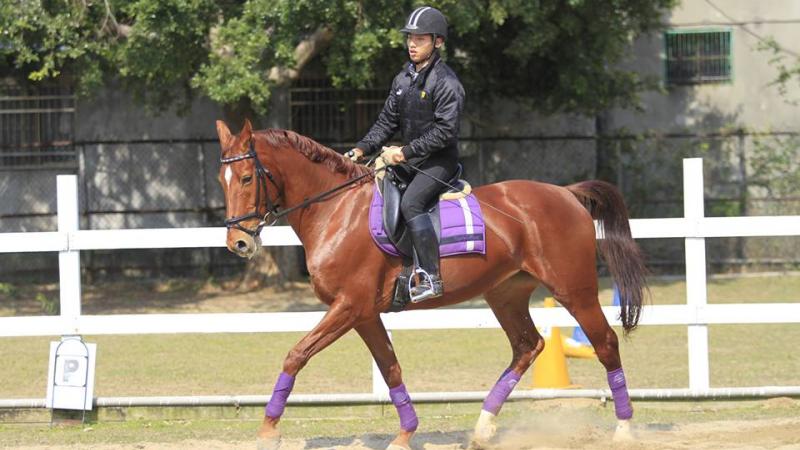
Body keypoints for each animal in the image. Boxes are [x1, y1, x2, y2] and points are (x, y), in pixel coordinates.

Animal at [216, 119, 647, 449]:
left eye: (247, 177)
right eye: (223, 180)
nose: (238, 243)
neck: (336, 210)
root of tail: (566, 193)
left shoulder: (349, 306)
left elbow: (296, 354)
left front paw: (268, 431)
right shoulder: (364, 314)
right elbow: (390, 369)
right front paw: (405, 434)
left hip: (574, 290)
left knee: (605, 343)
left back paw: (625, 430)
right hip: (505, 294)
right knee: (528, 346)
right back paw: (483, 427)